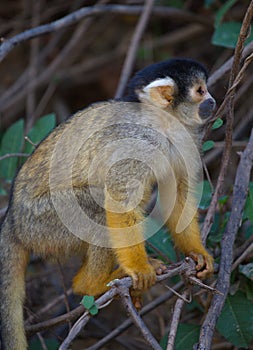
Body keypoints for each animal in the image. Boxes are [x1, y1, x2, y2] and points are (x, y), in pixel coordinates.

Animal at [0, 58, 214, 348]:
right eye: (200, 91)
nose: (213, 100)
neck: (162, 124)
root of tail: (12, 220)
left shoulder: (185, 140)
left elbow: (178, 192)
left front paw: (196, 252)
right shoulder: (135, 143)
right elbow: (119, 199)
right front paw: (140, 268)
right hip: (41, 224)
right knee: (99, 206)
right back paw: (90, 285)